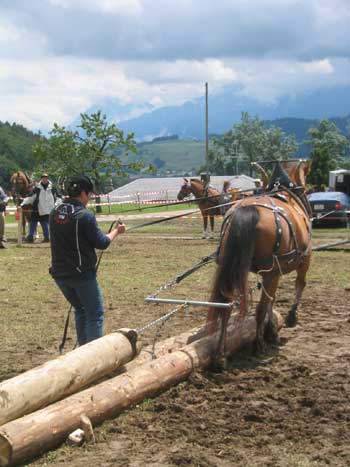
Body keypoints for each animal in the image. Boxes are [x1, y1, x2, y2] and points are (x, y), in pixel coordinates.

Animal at [208, 161, 312, 354]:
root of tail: (249, 210)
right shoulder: (305, 258)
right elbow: (299, 285)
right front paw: (290, 318)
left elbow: (273, 297)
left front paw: (272, 330)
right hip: (272, 272)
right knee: (260, 308)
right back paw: (259, 343)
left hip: (233, 269)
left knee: (226, 306)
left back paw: (220, 352)